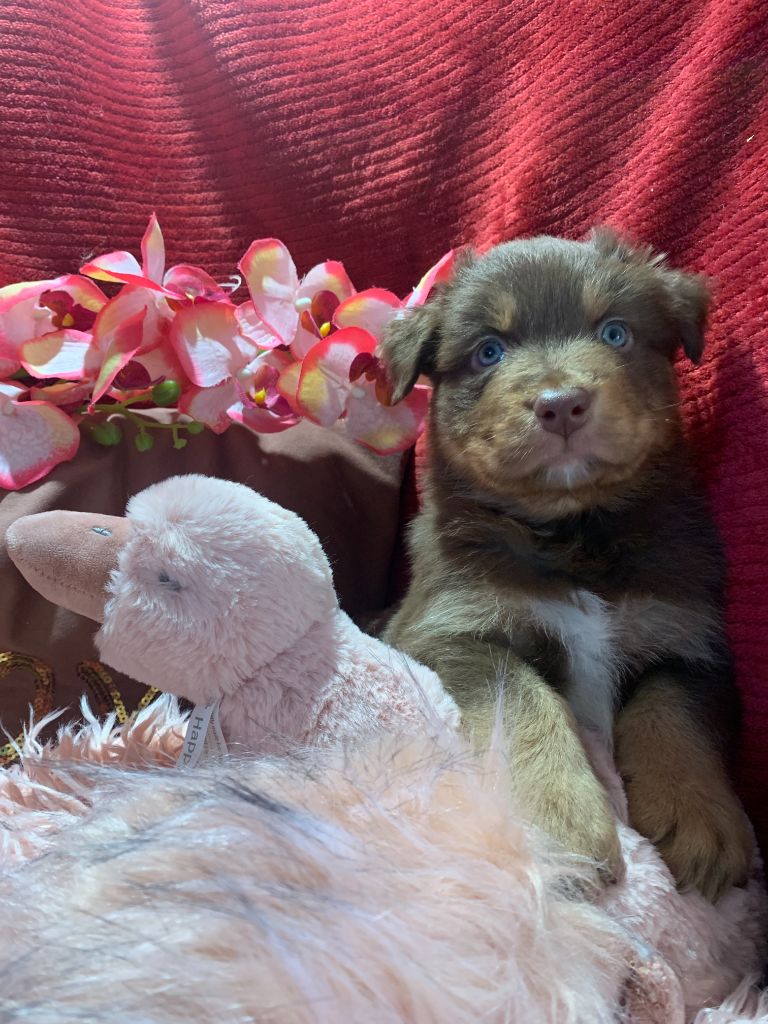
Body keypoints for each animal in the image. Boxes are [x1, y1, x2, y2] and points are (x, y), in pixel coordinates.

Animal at [380, 229, 752, 901]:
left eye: (614, 333)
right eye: (489, 351)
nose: (561, 405)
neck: (575, 533)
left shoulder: (688, 635)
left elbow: (672, 712)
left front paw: (700, 820)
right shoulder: (455, 627)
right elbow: (528, 703)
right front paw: (558, 821)